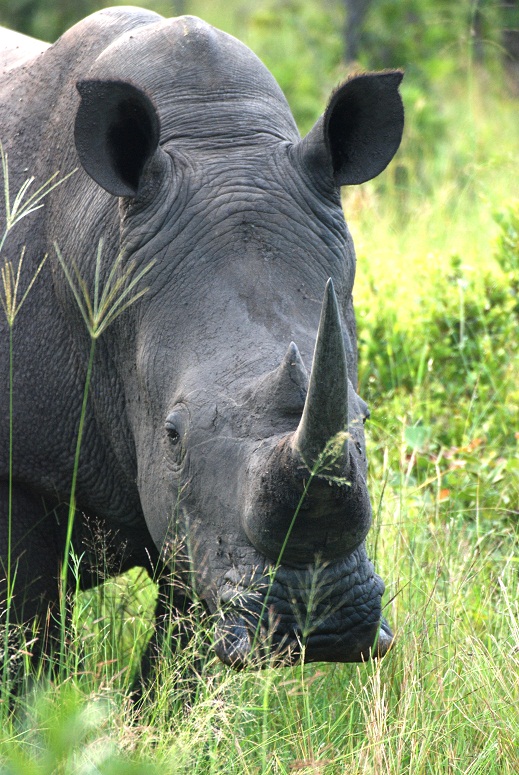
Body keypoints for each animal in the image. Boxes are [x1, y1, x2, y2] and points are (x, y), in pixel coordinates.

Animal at [0, 7, 403, 672]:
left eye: (365, 418)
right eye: (173, 434)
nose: (321, 627)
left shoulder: (200, 526)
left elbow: (180, 657)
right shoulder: (20, 468)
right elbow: (27, 639)